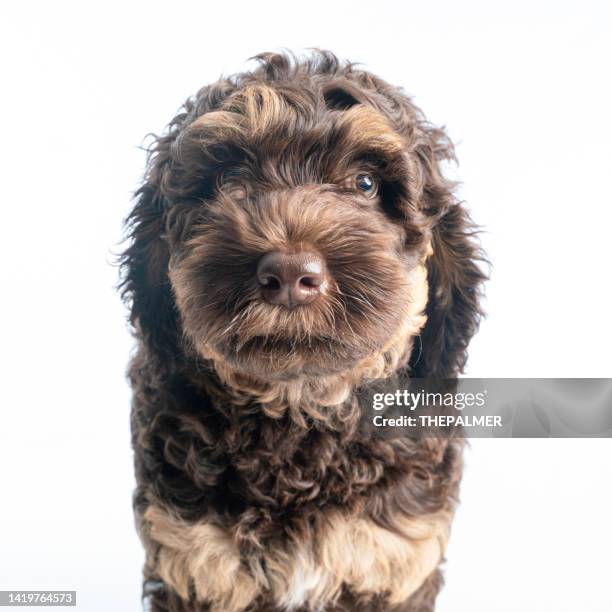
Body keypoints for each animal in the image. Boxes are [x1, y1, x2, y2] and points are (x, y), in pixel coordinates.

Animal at [118, 50, 482, 608]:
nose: (290, 274)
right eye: (229, 180)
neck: (300, 413)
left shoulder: (393, 556)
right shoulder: (194, 556)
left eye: (365, 184)